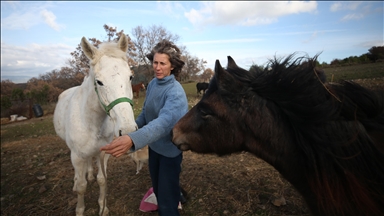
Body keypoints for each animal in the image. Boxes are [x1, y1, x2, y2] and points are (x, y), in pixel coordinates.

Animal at [53, 34, 138, 215]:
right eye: (99, 82)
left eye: (130, 77)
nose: (127, 129)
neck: (91, 122)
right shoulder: (77, 157)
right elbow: (81, 187)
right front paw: (79, 209)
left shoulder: (103, 153)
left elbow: (102, 180)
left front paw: (103, 207)